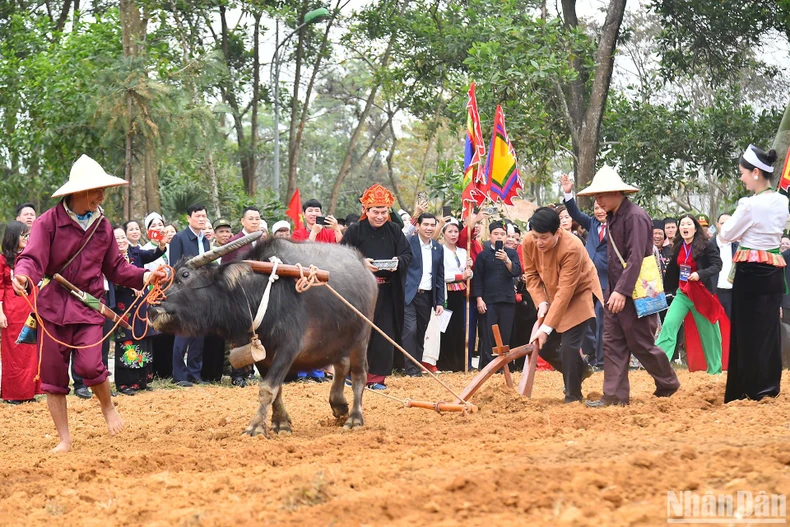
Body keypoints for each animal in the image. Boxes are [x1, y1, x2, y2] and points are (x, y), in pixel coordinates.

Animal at [152, 236, 384, 438]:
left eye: (184, 275)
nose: (154, 308)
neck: (260, 292)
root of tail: (366, 270)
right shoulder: (264, 355)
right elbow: (276, 389)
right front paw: (280, 423)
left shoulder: (288, 348)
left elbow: (267, 389)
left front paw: (255, 427)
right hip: (336, 338)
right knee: (341, 365)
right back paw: (339, 405)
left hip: (361, 337)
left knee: (358, 374)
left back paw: (354, 418)